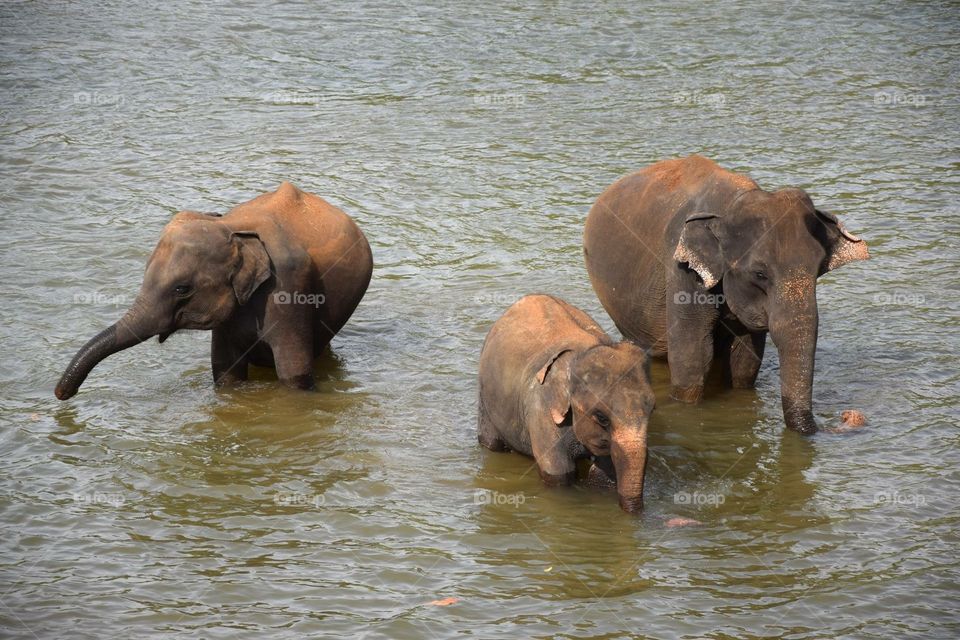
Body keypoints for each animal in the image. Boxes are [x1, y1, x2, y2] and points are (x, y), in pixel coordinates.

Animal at [53, 181, 372, 400]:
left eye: (182, 289)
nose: (61, 394)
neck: (230, 229)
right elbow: (225, 373)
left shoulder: (291, 287)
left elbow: (293, 376)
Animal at [476, 292, 656, 512]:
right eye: (601, 417)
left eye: (652, 410)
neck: (582, 352)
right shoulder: (541, 410)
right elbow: (559, 476)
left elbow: (604, 476)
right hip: (485, 396)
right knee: (491, 442)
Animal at [584, 156, 872, 436]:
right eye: (759, 274)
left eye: (818, 270)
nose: (847, 416)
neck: (734, 203)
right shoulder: (682, 272)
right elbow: (693, 359)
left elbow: (745, 361)